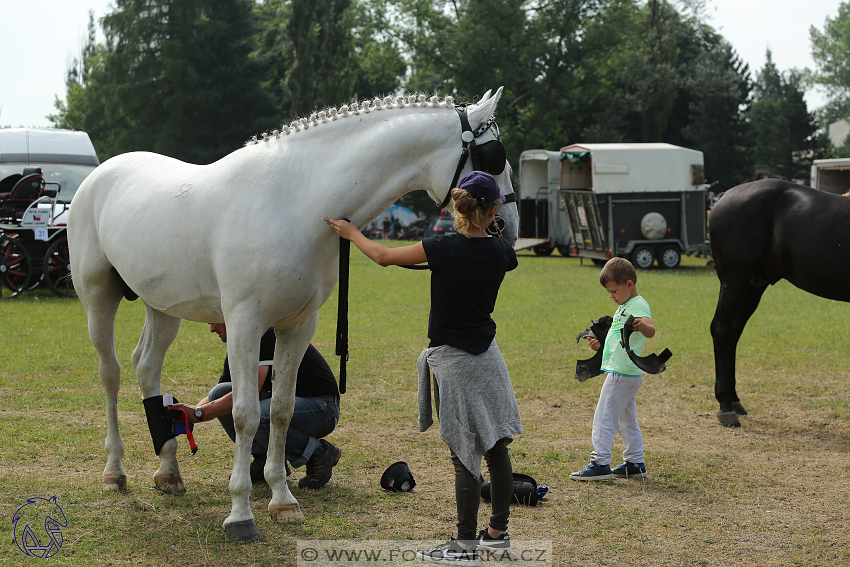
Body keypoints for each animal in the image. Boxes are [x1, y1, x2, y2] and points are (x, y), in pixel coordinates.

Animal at [68, 86, 516, 540]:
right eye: (494, 158)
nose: (506, 228)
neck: (296, 203)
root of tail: (99, 176)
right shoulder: (245, 324)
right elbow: (246, 414)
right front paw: (241, 514)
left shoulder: (298, 326)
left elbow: (281, 410)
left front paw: (282, 501)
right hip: (97, 298)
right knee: (111, 374)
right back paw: (114, 472)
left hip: (162, 307)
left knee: (147, 368)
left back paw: (169, 471)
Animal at [708, 178, 848, 426]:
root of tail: (725, 197)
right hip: (734, 281)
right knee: (722, 332)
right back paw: (725, 406)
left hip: (753, 285)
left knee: (733, 332)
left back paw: (734, 399)